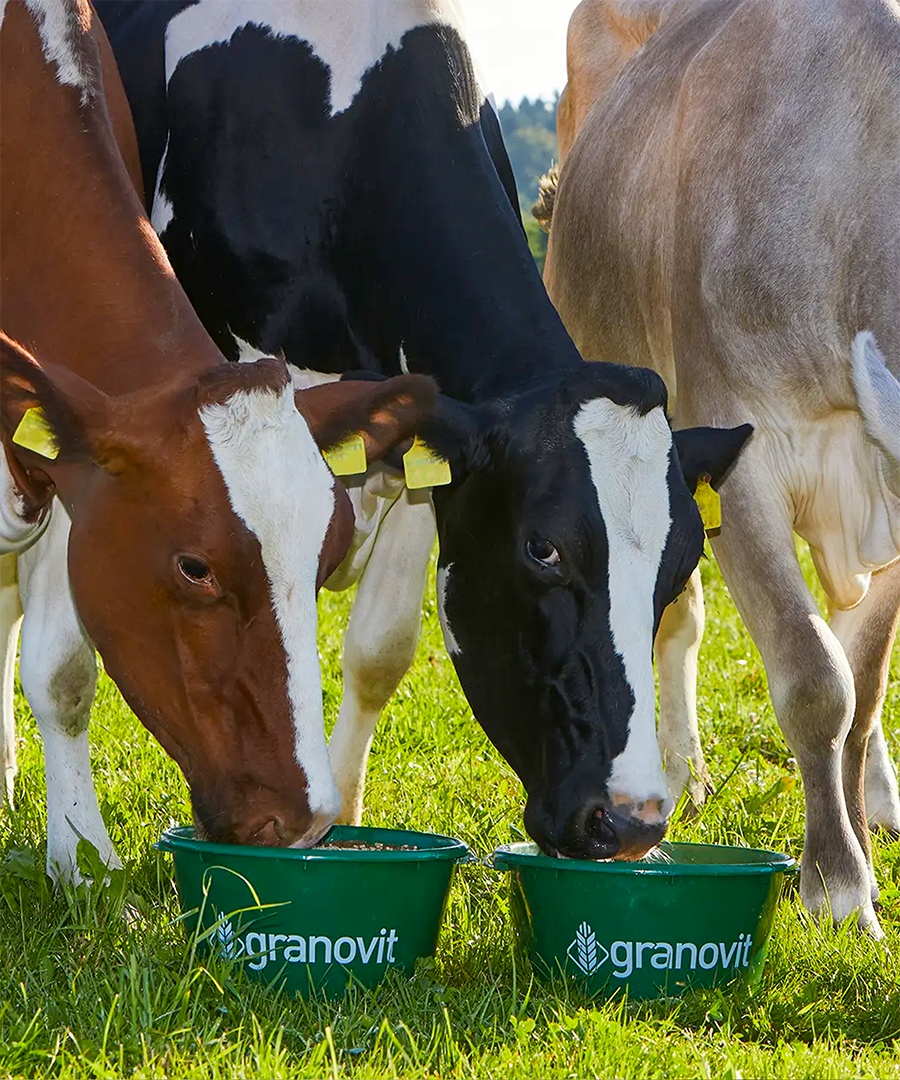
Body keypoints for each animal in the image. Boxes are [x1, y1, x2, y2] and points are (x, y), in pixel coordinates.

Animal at [0, 0, 436, 876]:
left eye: (328, 557)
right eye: (194, 567)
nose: (301, 819)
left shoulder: (67, 477)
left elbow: (62, 664)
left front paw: (78, 852)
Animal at [95, 0, 747, 859]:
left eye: (680, 565)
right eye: (543, 549)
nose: (630, 821)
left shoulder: (422, 449)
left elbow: (379, 646)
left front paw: (346, 811)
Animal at [538, 0, 900, 933]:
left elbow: (864, 683)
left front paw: (854, 846)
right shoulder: (740, 468)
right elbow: (817, 681)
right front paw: (839, 890)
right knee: (675, 622)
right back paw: (680, 774)